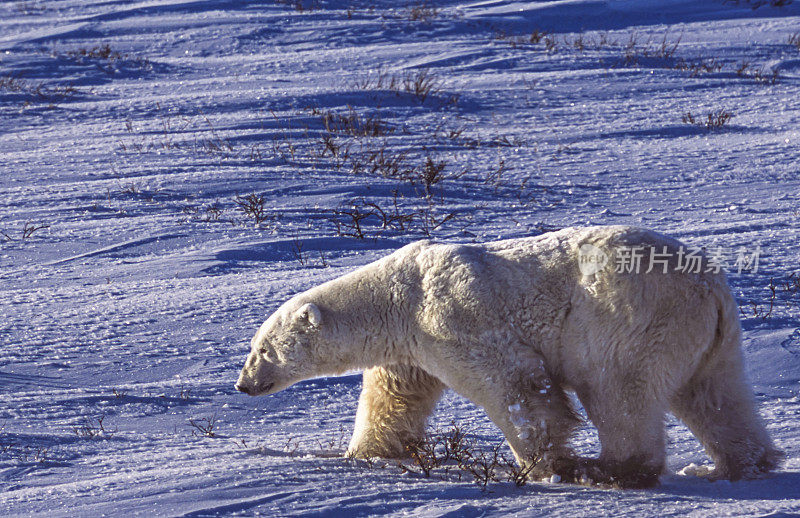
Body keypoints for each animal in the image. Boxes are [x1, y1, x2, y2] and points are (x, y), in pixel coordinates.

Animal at [236, 225, 780, 490]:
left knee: (618, 390)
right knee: (716, 395)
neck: (398, 296)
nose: (243, 385)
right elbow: (394, 398)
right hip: (710, 337)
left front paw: (545, 465)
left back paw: (609, 469)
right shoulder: (409, 349)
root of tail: (710, 287)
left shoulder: (450, 317)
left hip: (630, 319)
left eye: (263, 349)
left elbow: (514, 386)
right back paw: (742, 465)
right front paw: (362, 454)